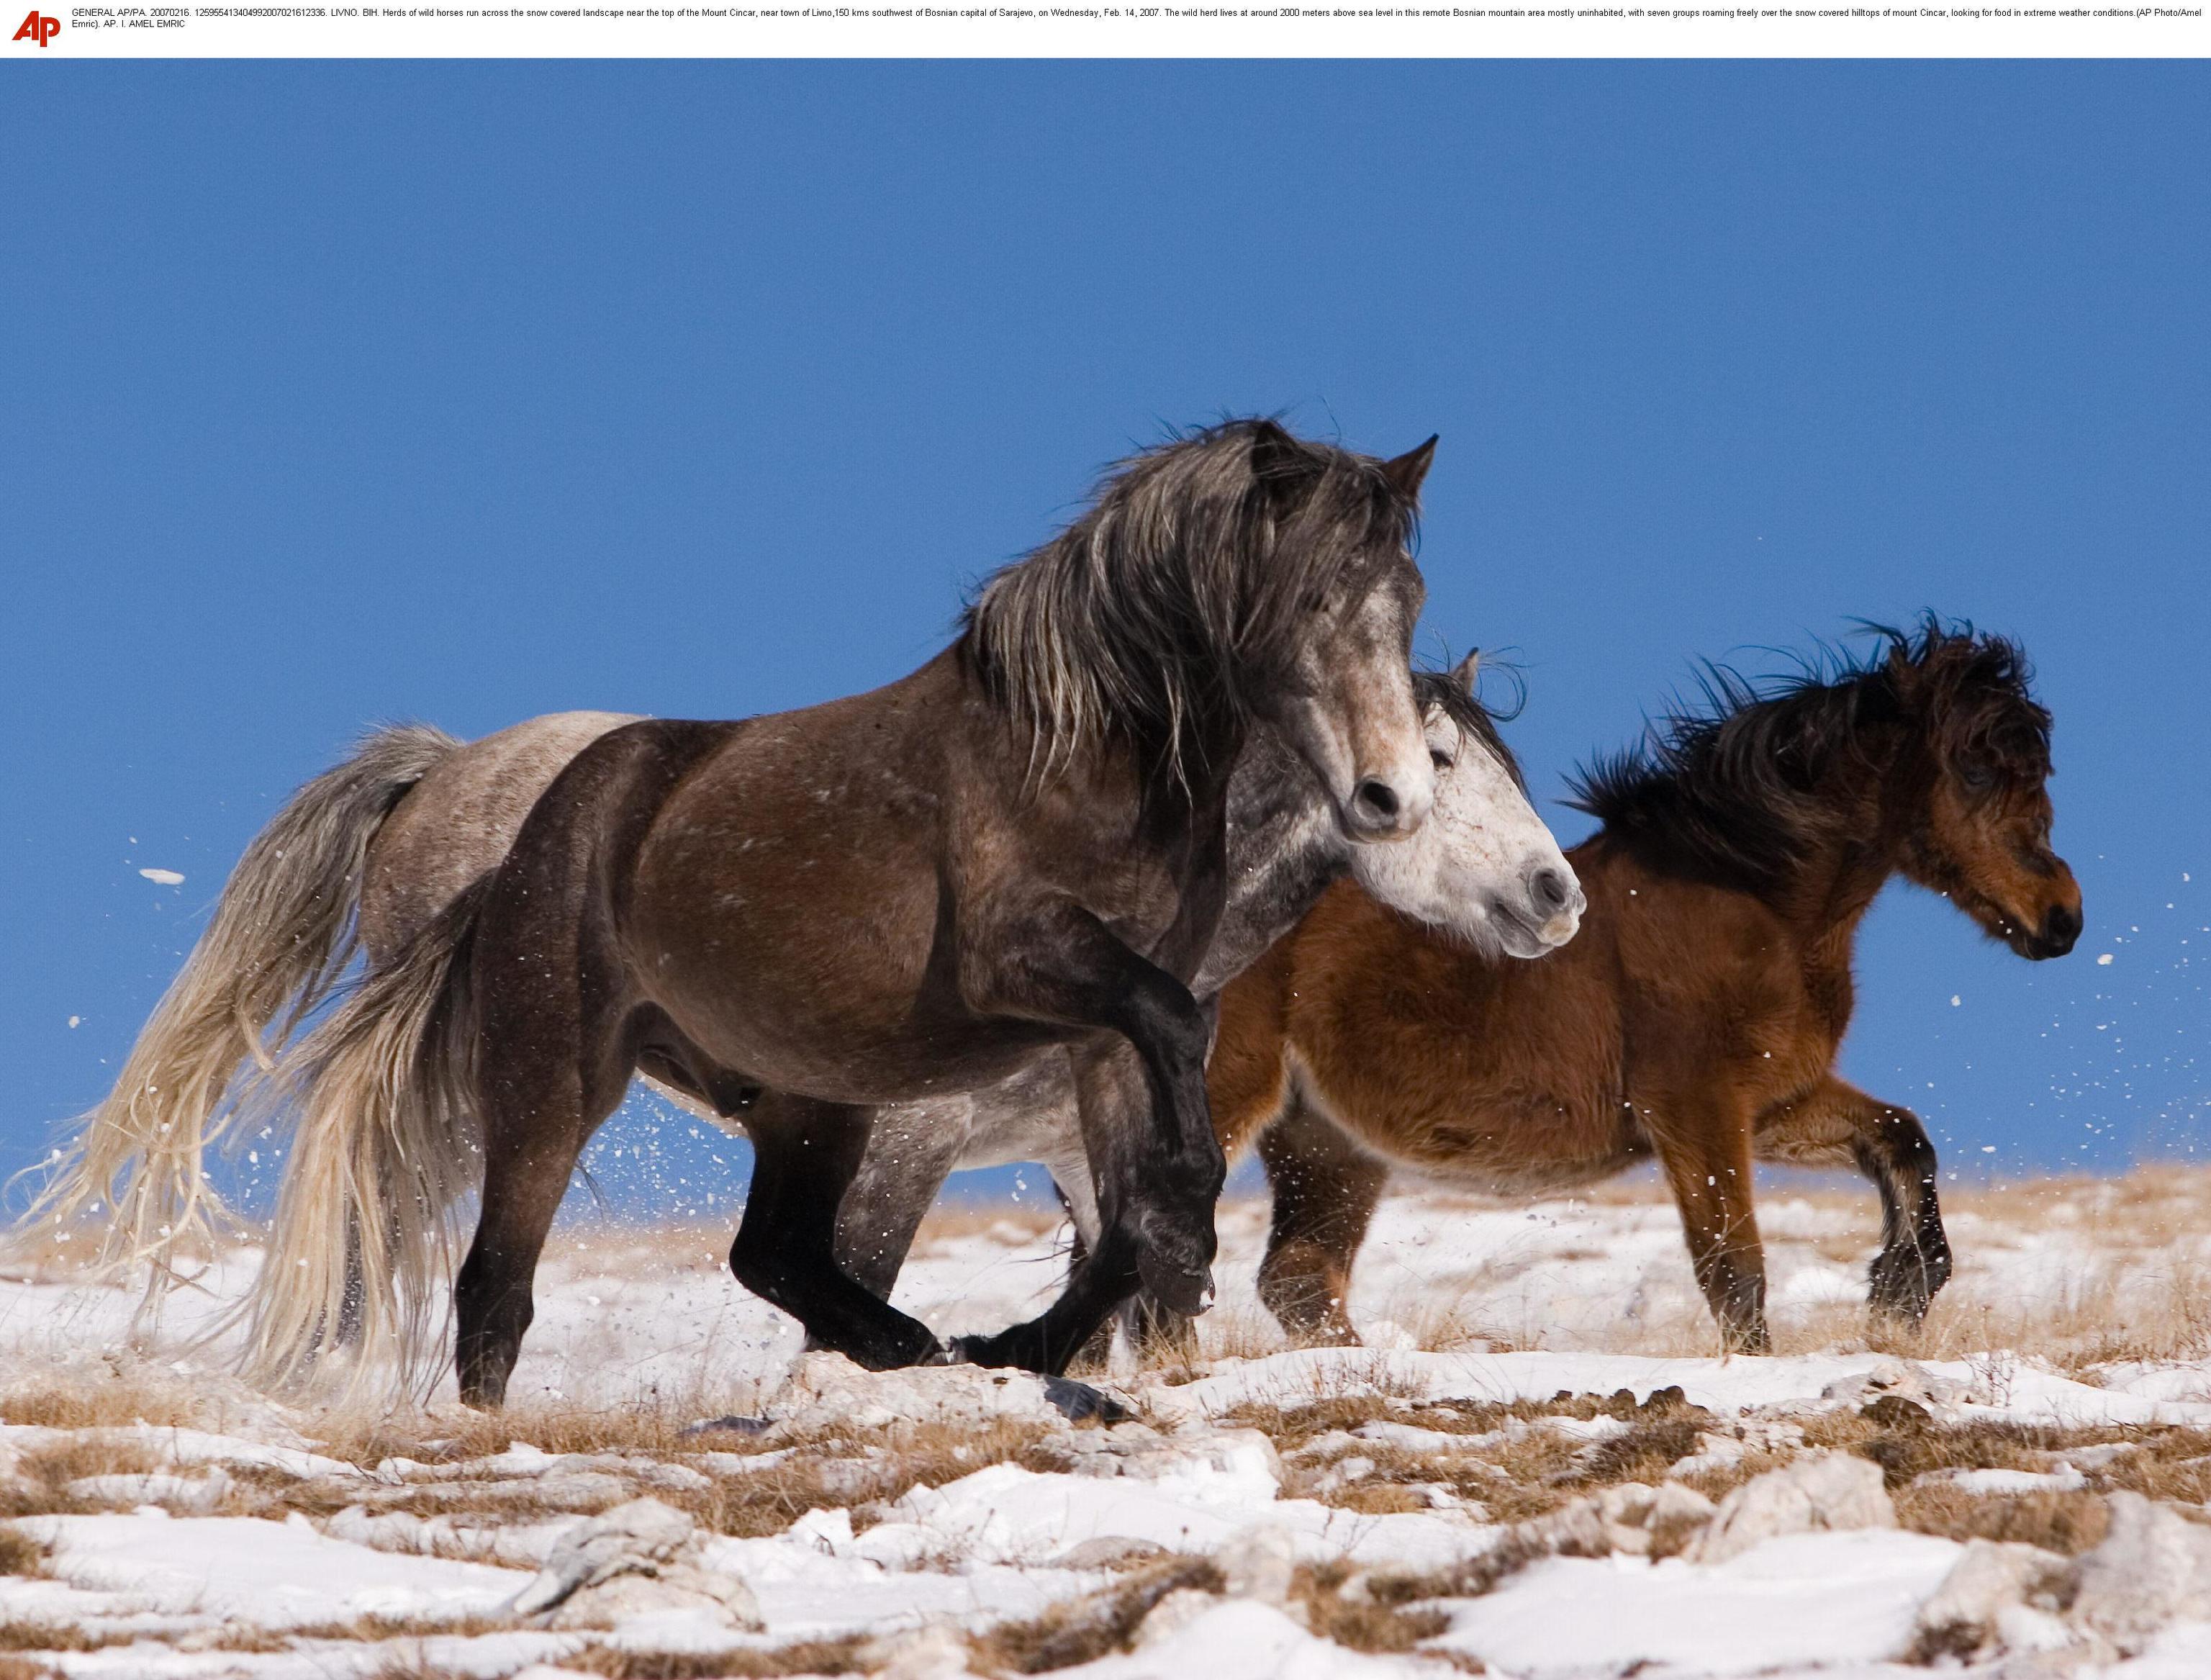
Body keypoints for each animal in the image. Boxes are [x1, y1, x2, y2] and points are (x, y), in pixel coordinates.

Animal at [1211, 623, 2086, 1361]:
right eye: (1977, 768)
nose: (2061, 918)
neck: (1751, 902)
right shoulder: (1693, 1106)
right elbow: (1735, 1269)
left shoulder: (1773, 1102)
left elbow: (1904, 1139)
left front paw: (1900, 1294)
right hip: (1239, 1095)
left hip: (1327, 1143)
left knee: (1299, 1278)